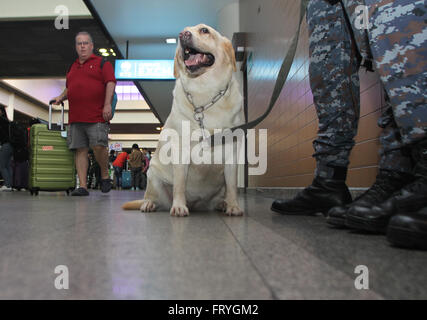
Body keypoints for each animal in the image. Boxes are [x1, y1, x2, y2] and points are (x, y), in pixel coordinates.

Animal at [122, 23, 246, 216]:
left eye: (204, 30)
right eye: (182, 31)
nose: (183, 35)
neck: (205, 94)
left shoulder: (232, 154)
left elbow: (232, 185)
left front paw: (233, 205)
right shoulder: (180, 152)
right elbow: (179, 185)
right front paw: (179, 206)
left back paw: (222, 204)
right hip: (153, 175)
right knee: (152, 196)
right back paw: (149, 204)